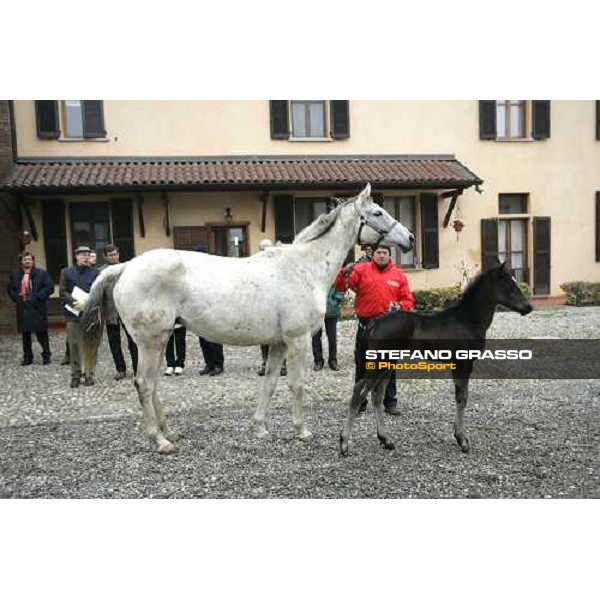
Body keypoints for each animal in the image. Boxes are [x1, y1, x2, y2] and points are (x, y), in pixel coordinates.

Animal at [340, 262, 532, 454]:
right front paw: (462, 440)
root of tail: (374, 323)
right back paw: (344, 443)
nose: (528, 307)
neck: (467, 320)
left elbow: (459, 396)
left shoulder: (457, 365)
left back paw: (386, 440)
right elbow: (463, 398)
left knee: (377, 396)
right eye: (508, 285)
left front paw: (458, 435)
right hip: (379, 362)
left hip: (387, 363)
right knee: (359, 391)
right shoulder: (464, 363)